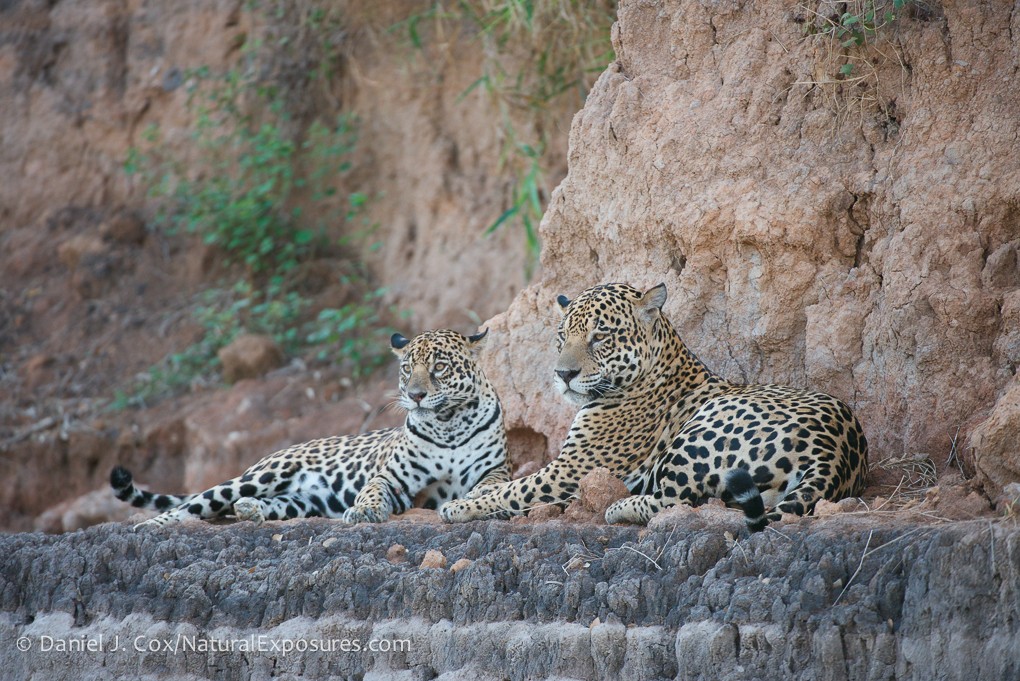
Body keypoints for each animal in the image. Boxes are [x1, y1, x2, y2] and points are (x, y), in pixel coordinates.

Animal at [111, 328, 510, 527]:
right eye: (407, 368)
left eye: (439, 367)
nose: (415, 395)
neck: (448, 425)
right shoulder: (392, 478)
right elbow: (372, 490)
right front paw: (364, 511)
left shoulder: (494, 472)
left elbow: (487, 487)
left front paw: (473, 501)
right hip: (262, 475)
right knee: (197, 503)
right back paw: (151, 526)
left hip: (302, 501)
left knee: (259, 505)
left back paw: (250, 511)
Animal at [440, 282, 868, 531]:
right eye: (562, 336)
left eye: (600, 337)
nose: (563, 373)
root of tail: (836, 452)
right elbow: (507, 484)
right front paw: (473, 494)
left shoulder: (571, 469)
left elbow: (514, 489)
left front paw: (460, 505)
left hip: (702, 429)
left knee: (681, 500)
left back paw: (620, 507)